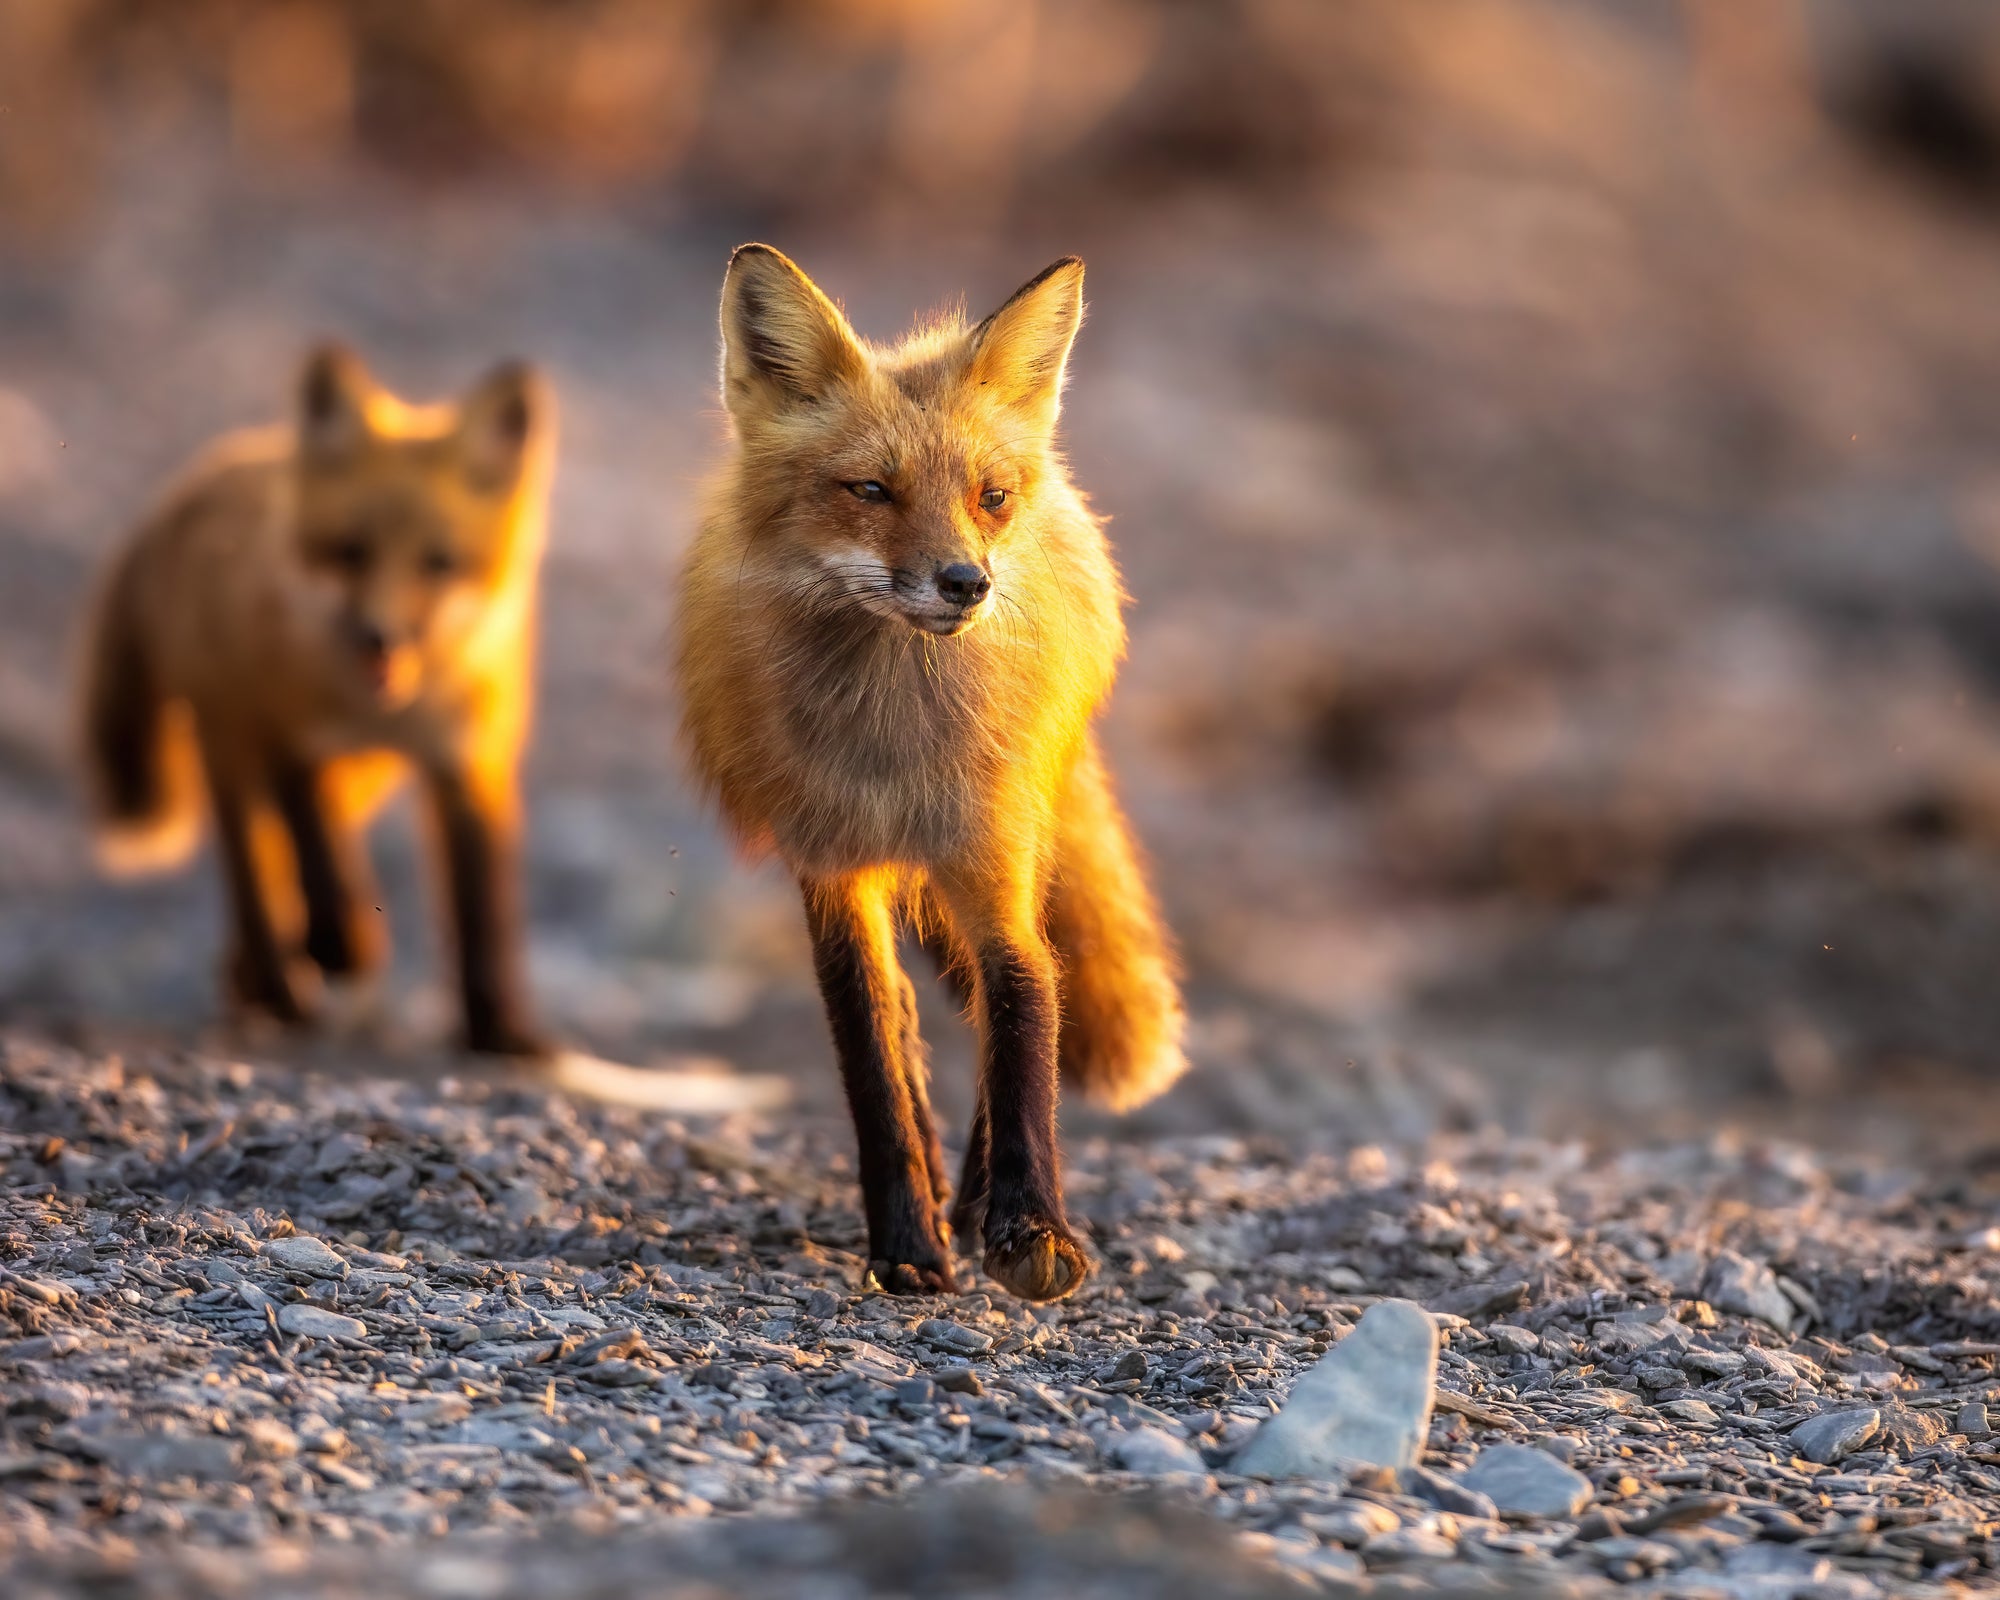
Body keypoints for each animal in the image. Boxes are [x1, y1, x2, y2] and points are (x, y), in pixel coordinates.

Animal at [80, 344, 556, 1056]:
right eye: (351, 551)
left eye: (438, 562)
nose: (380, 637)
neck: (383, 710)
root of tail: (204, 474)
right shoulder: (288, 735)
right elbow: (323, 857)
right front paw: (342, 945)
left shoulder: (468, 765)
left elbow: (482, 908)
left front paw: (499, 1028)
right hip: (232, 749)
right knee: (255, 878)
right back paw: (278, 988)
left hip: (362, 777)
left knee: (279, 871)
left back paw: (257, 980)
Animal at [680, 247, 1184, 1296]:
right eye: (871, 490)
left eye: (990, 496)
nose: (967, 584)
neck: (894, 747)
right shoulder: (832, 867)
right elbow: (874, 1054)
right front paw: (907, 1245)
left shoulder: (991, 852)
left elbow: (1025, 1011)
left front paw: (1030, 1228)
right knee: (916, 1022)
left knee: (1033, 986)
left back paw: (981, 1196)